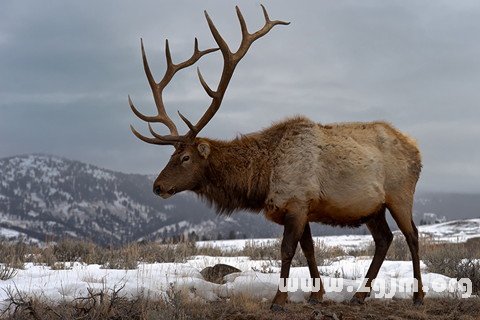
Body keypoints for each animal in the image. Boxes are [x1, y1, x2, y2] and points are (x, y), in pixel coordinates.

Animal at [127, 4, 424, 310]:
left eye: (185, 157)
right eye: (172, 154)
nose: (158, 186)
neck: (263, 178)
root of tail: (416, 148)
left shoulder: (297, 202)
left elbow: (287, 250)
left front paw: (279, 299)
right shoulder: (301, 207)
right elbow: (309, 249)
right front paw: (317, 294)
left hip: (400, 193)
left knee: (412, 235)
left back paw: (417, 296)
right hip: (372, 208)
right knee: (384, 239)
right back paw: (359, 295)